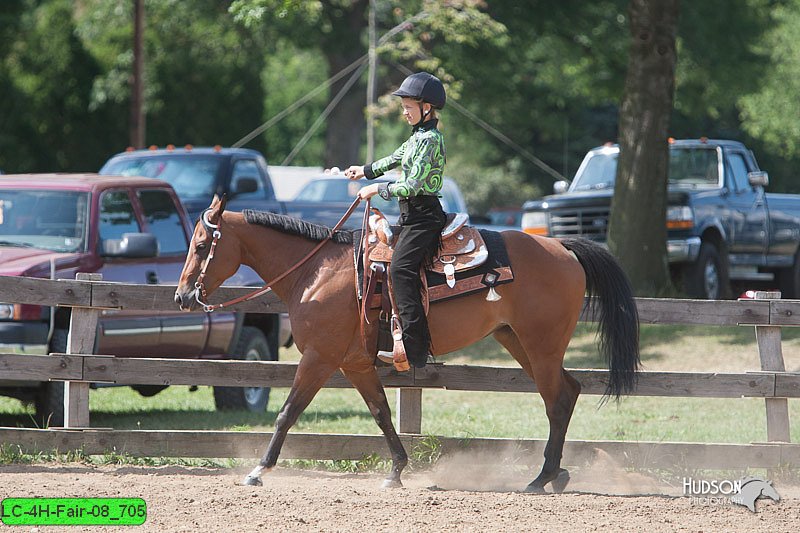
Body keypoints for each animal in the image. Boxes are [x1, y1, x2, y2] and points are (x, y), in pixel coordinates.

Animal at [175, 194, 636, 490]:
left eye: (200, 244)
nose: (181, 297)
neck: (317, 271)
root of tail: (561, 247)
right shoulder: (355, 364)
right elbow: (381, 413)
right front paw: (396, 471)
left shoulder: (320, 358)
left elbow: (287, 413)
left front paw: (259, 470)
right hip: (520, 342)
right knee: (568, 392)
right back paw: (556, 474)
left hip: (540, 346)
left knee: (556, 400)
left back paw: (541, 478)